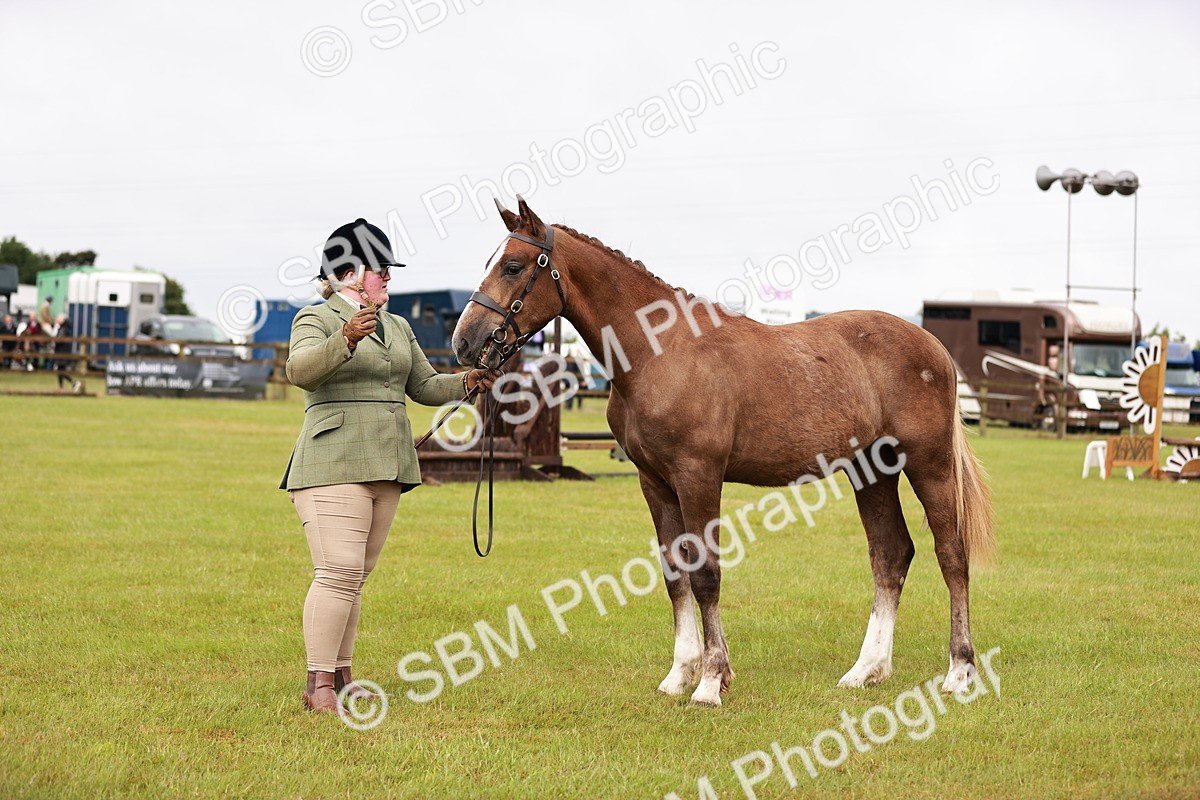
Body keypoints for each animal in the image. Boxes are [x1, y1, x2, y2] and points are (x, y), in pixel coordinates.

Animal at [452, 198, 995, 707]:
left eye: (513, 266)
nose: (464, 342)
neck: (660, 352)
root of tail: (934, 346)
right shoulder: (655, 483)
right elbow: (675, 576)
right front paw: (679, 675)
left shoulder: (698, 476)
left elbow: (706, 575)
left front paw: (711, 682)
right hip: (872, 472)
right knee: (890, 555)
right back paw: (866, 670)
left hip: (928, 466)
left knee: (951, 555)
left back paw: (959, 672)